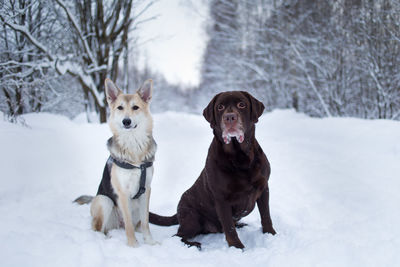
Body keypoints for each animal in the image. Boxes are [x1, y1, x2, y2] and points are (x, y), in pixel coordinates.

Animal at [75, 78, 158, 248]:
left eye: (135, 107)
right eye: (120, 107)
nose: (126, 121)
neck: (133, 146)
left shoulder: (146, 190)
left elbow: (146, 222)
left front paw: (149, 242)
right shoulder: (123, 192)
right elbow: (128, 225)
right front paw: (133, 245)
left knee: (137, 224)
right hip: (104, 201)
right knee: (99, 228)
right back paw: (107, 239)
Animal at [149, 91, 276, 249]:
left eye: (242, 104)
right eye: (220, 107)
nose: (229, 117)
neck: (240, 157)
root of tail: (177, 212)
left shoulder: (264, 188)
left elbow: (266, 215)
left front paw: (270, 234)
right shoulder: (221, 198)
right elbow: (229, 228)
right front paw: (237, 248)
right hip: (192, 218)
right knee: (178, 236)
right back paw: (193, 244)